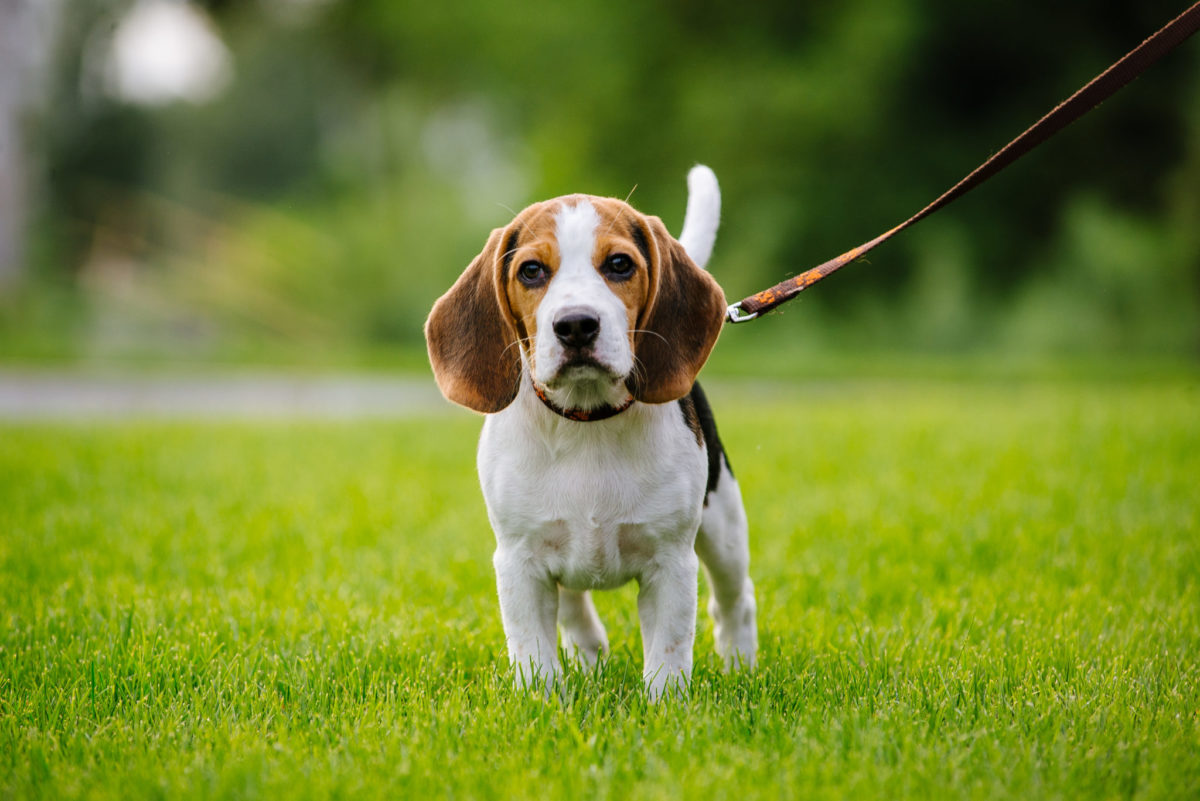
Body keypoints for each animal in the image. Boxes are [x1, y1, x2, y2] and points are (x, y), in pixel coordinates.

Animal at [427, 165, 753, 695]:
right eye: (531, 271)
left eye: (619, 264)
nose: (576, 324)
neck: (586, 421)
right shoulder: (518, 562)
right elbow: (534, 653)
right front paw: (540, 702)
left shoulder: (671, 563)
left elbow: (667, 656)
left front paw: (667, 708)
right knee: (575, 609)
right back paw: (590, 656)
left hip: (723, 526)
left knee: (734, 602)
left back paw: (742, 665)